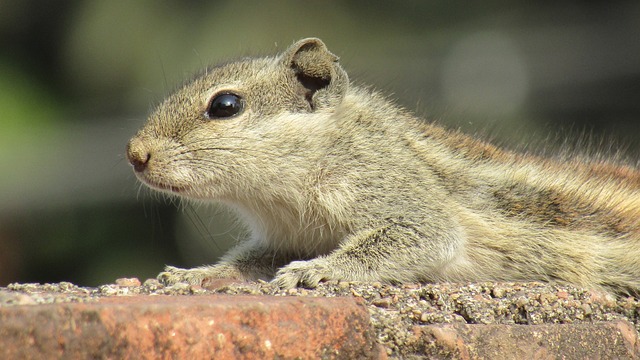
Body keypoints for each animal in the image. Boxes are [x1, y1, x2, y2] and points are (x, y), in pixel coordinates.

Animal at [126, 38, 640, 294]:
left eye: (225, 105)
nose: (135, 153)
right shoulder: (287, 236)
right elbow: (248, 262)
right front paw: (194, 274)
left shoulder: (399, 194)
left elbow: (422, 235)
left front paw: (318, 271)